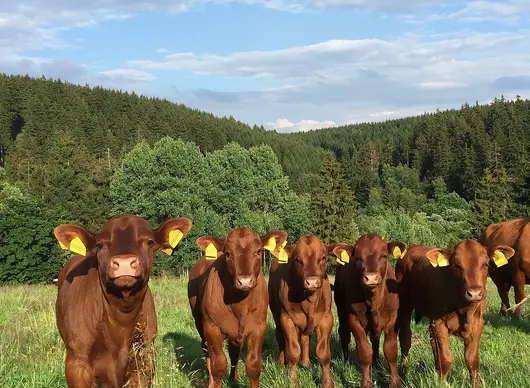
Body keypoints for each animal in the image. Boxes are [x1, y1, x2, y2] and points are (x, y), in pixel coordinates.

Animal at [186, 227, 284, 388]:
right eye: (228, 253)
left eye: (258, 251)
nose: (245, 281)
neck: (239, 304)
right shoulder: (212, 328)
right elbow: (218, 364)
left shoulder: (259, 328)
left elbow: (253, 365)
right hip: (199, 322)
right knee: (207, 351)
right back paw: (211, 381)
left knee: (234, 351)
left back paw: (233, 378)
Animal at [268, 235, 334, 388]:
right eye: (297, 259)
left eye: (323, 257)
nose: (312, 281)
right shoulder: (287, 319)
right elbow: (293, 352)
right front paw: (292, 381)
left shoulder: (326, 319)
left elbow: (323, 353)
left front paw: (327, 383)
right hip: (275, 314)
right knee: (280, 337)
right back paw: (281, 362)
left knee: (304, 339)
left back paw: (305, 363)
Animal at [328, 235, 406, 388]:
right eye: (358, 258)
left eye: (383, 256)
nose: (371, 278)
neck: (374, 300)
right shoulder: (354, 320)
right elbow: (364, 352)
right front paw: (366, 383)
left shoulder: (393, 320)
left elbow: (390, 350)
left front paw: (395, 382)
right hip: (341, 310)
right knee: (344, 334)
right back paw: (346, 361)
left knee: (375, 339)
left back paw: (376, 363)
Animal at [396, 241, 512, 386]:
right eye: (456, 266)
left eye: (485, 265)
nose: (474, 293)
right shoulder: (439, 323)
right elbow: (446, 358)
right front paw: (441, 384)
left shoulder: (478, 324)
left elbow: (472, 359)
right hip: (404, 304)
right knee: (405, 338)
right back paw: (403, 373)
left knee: (433, 343)